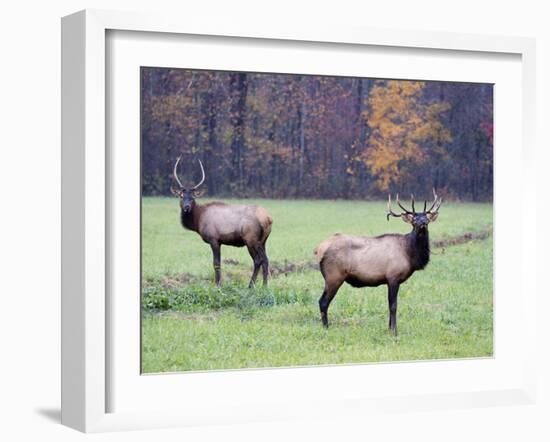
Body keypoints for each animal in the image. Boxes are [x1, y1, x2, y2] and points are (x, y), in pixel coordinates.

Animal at [170, 157, 274, 288]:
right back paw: (265, 285)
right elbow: (218, 262)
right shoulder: (219, 242)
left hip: (251, 239)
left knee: (258, 260)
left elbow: (216, 263)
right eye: (181, 196)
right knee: (266, 260)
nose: (186, 208)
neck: (198, 220)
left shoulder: (214, 239)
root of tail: (268, 218)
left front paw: (218, 285)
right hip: (263, 241)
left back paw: (251, 285)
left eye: (193, 197)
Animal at [314, 191, 444, 334]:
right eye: (414, 220)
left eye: (426, 217)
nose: (423, 223)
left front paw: (389, 328)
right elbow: (393, 306)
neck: (410, 254)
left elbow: (390, 305)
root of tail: (319, 249)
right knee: (323, 302)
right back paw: (326, 327)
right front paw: (394, 331)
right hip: (334, 276)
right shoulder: (393, 277)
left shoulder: (390, 280)